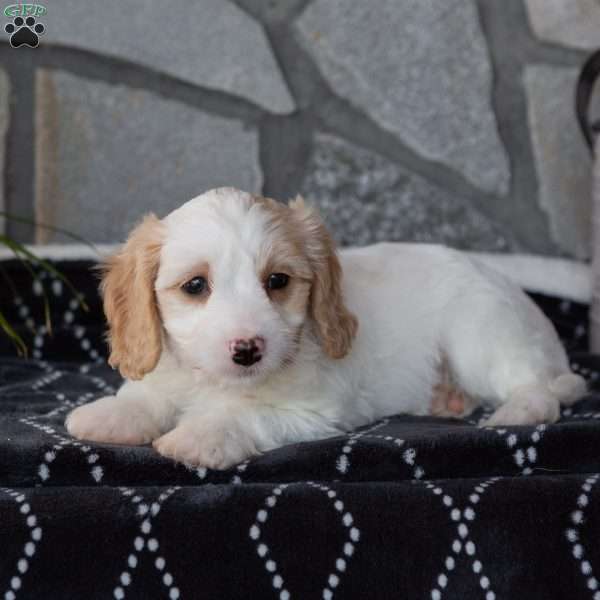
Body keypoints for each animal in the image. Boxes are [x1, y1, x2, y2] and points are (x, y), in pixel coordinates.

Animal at [65, 188, 584, 468]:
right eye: (195, 285)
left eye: (277, 281)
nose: (248, 349)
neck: (212, 381)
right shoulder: (165, 373)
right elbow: (145, 395)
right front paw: (109, 416)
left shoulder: (312, 412)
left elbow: (241, 414)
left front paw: (199, 437)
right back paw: (448, 399)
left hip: (482, 335)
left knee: (542, 389)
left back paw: (516, 412)